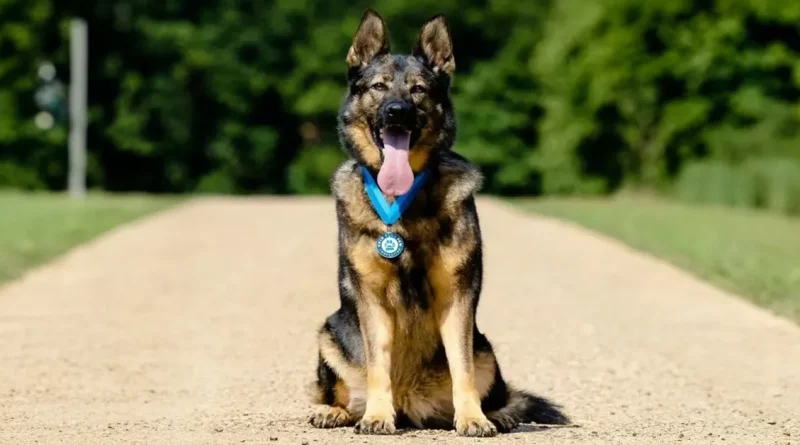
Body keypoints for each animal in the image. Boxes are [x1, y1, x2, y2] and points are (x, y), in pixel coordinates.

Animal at [306, 8, 568, 436]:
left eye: (418, 90)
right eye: (379, 87)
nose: (397, 111)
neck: (404, 204)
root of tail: (410, 403)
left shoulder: (456, 299)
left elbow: (461, 367)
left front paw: (472, 418)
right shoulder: (372, 300)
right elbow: (378, 364)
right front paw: (377, 415)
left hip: (486, 348)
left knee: (502, 394)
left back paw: (496, 415)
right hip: (331, 333)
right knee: (342, 393)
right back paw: (338, 411)